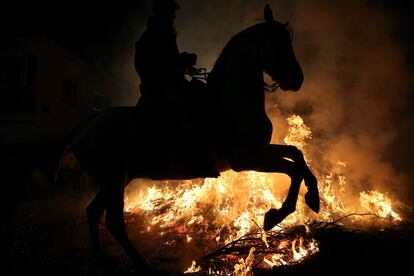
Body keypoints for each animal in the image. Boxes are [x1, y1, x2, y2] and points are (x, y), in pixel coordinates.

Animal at [59, 4, 320, 274]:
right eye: (278, 42)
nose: (298, 79)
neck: (231, 101)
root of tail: (83, 128)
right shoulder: (246, 159)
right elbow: (293, 170)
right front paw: (277, 214)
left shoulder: (261, 150)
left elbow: (297, 155)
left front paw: (313, 196)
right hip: (114, 179)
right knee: (113, 222)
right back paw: (141, 265)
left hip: (118, 179)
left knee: (93, 212)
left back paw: (103, 258)